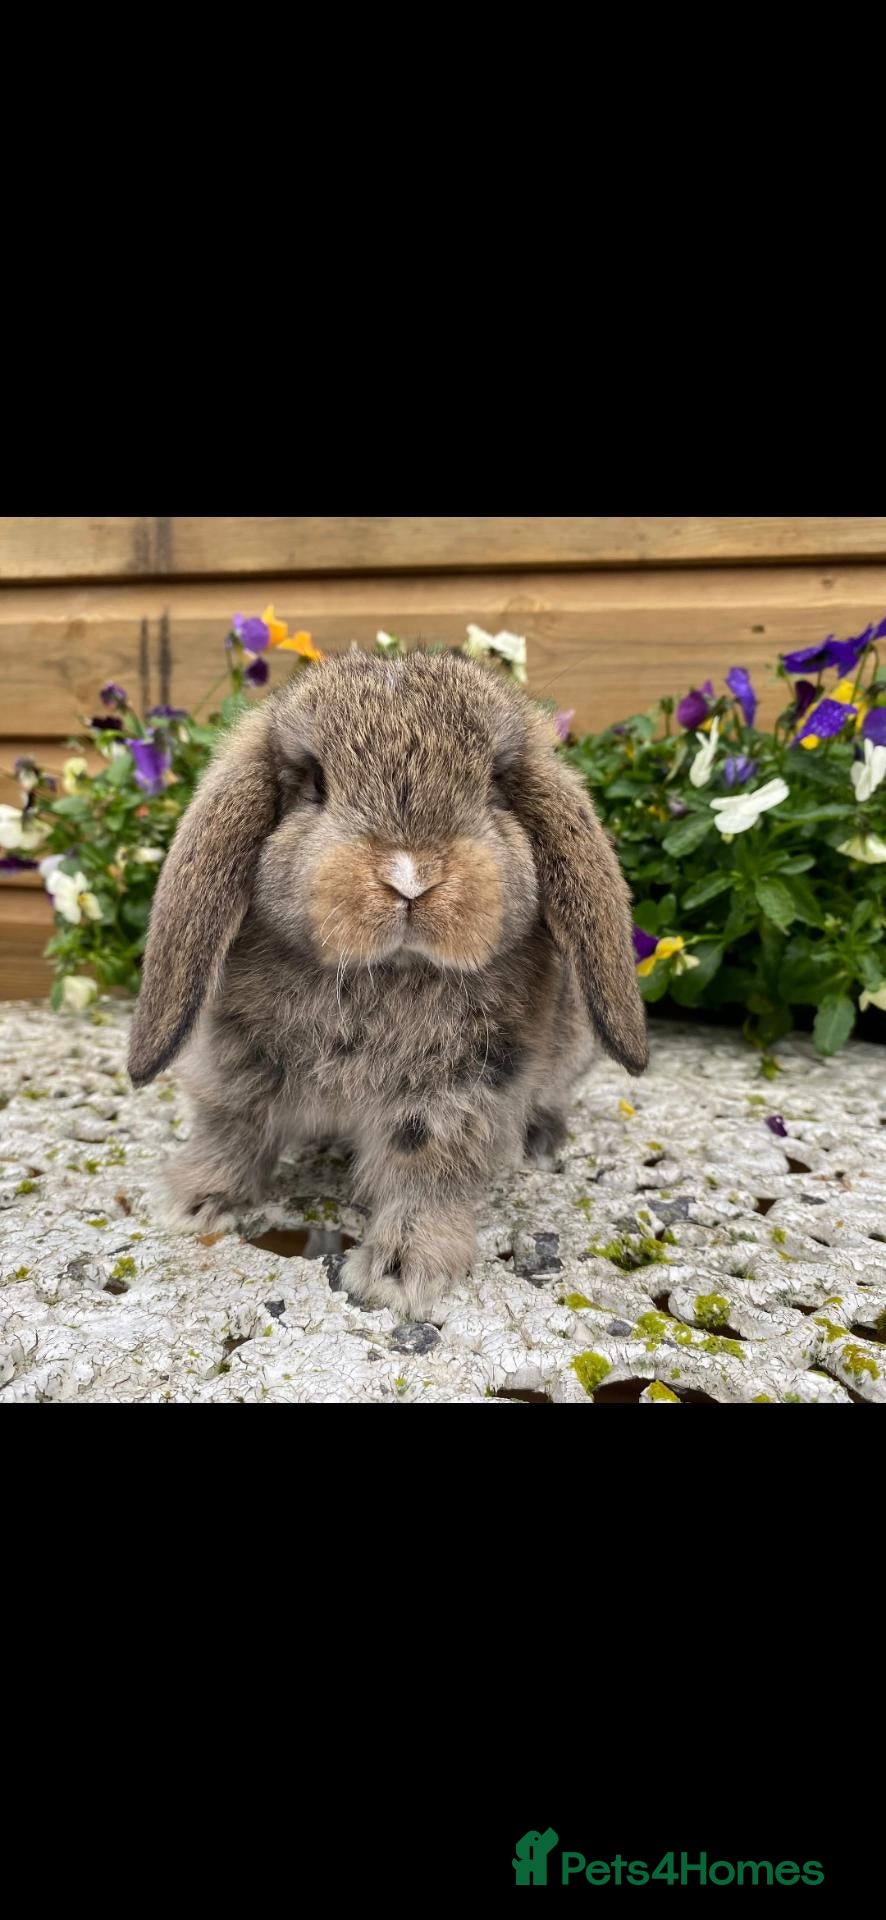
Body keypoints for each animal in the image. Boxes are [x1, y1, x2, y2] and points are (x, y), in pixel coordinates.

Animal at [128, 648, 647, 1319]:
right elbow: (234, 1124)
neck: (387, 971)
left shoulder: (456, 1088)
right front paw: (192, 1200)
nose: (410, 877)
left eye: (494, 785)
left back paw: (540, 1138)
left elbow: (423, 1167)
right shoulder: (237, 1059)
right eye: (315, 785)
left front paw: (401, 1272)